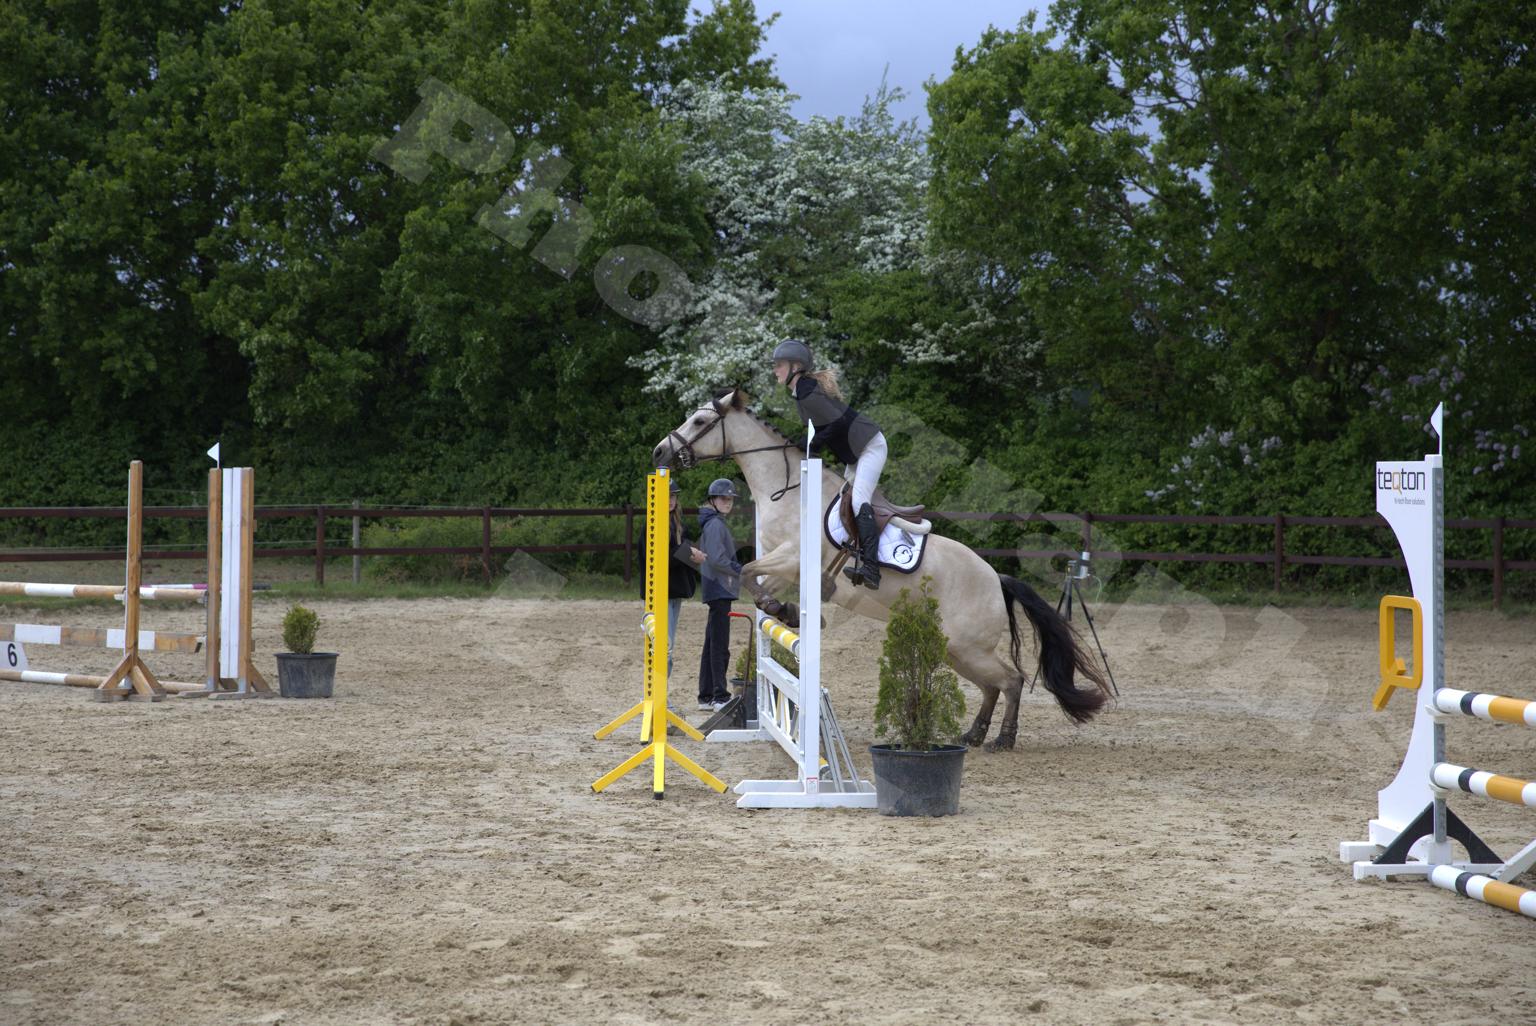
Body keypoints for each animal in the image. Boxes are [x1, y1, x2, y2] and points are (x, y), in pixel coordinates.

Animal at [653, 389, 1111, 751]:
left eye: (700, 420)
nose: (659, 451)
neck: (787, 490)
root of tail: (995, 578)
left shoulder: (792, 558)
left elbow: (748, 572)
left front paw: (792, 612)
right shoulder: (784, 567)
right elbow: (753, 578)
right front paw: (785, 611)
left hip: (969, 646)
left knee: (1011, 680)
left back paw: (1002, 739)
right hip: (956, 649)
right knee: (992, 686)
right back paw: (974, 735)